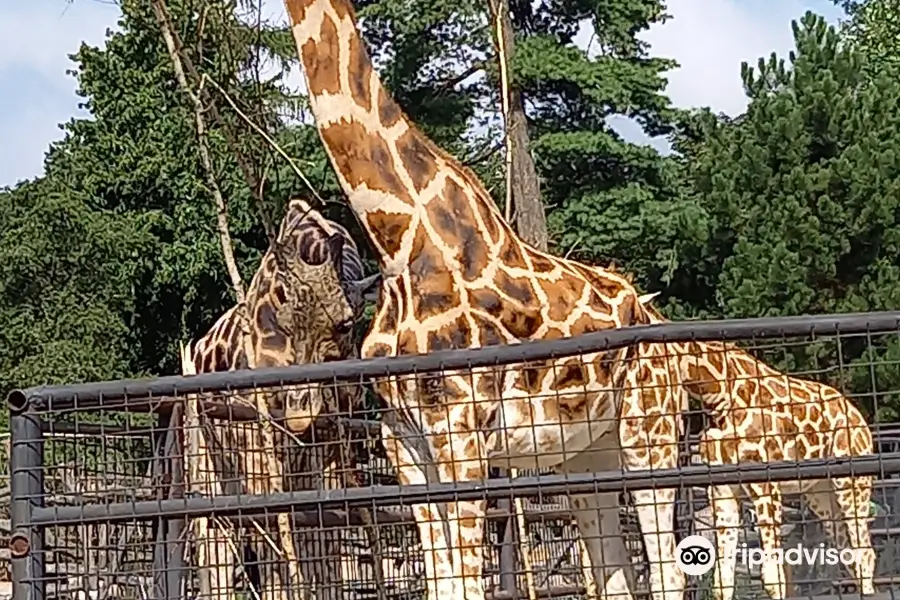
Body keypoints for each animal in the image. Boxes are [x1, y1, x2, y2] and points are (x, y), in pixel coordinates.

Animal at [188, 196, 378, 596]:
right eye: (285, 323)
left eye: (346, 323)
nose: (298, 417)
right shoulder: (257, 443)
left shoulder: (333, 446)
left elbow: (326, 536)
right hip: (210, 465)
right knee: (218, 540)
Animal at [284, 1, 688, 600]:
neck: (397, 236)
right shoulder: (407, 444)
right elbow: (443, 584)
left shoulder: (461, 438)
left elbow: (471, 583)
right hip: (589, 455)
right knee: (614, 573)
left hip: (649, 432)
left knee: (667, 568)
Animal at [632, 288, 880, 596]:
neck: (720, 396)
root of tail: (861, 421)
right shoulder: (722, 490)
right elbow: (722, 580)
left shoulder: (765, 486)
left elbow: (773, 575)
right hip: (820, 493)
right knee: (849, 551)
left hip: (852, 484)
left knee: (865, 552)